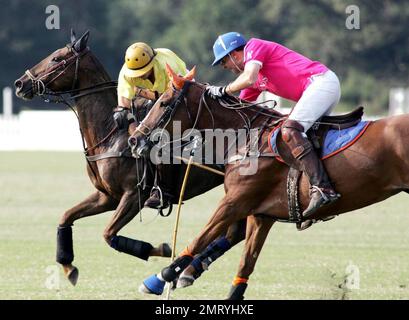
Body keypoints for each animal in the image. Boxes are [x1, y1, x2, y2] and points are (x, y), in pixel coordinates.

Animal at [13, 31, 226, 286]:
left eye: (56, 58)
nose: (20, 84)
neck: (111, 133)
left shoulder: (133, 195)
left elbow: (108, 234)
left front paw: (164, 249)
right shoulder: (107, 196)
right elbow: (66, 216)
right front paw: (68, 266)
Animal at [129, 65, 408, 300]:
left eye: (163, 103)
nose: (134, 140)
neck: (246, 138)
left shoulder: (235, 202)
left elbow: (202, 237)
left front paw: (162, 276)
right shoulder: (261, 215)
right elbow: (244, 263)